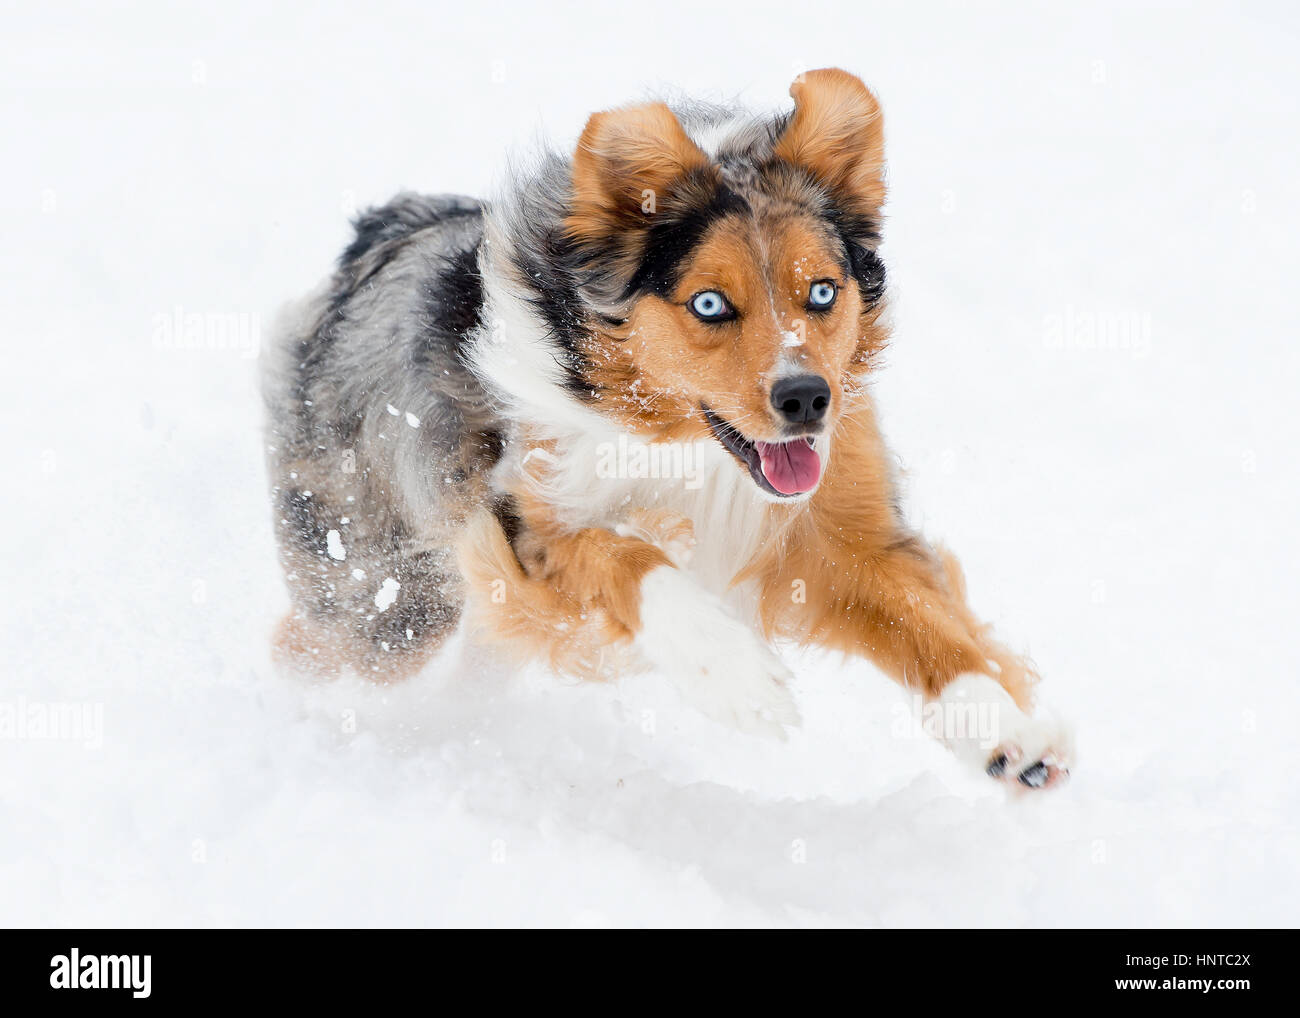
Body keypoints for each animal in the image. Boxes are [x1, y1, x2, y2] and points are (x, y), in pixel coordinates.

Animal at [258, 69, 1071, 790]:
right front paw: (733, 674)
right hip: (385, 598)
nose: (807, 399)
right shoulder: (517, 516)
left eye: (821, 291)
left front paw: (1003, 732)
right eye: (709, 304)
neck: (690, 451)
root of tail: (376, 234)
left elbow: (931, 629)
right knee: (317, 644)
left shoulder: (844, 533)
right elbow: (626, 558)